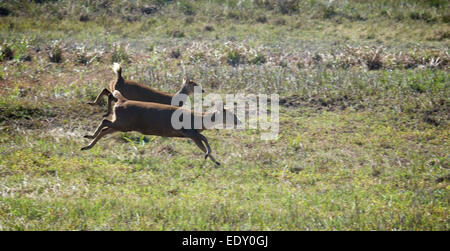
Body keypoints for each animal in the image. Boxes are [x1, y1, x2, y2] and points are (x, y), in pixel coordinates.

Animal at [81, 89, 243, 166]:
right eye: (231, 115)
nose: (239, 122)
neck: (200, 120)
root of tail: (123, 101)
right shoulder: (188, 131)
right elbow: (205, 140)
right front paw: (210, 156)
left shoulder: (191, 135)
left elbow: (202, 145)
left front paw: (215, 161)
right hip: (124, 123)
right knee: (105, 122)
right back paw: (88, 139)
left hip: (122, 123)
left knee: (105, 126)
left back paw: (87, 143)